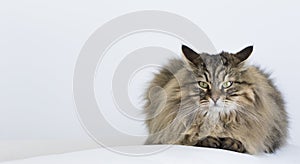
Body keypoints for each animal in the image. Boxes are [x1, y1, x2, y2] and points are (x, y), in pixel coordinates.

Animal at [144, 44, 290, 154]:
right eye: (203, 84)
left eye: (227, 84)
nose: (215, 98)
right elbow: (190, 138)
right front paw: (208, 140)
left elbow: (242, 140)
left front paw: (231, 142)